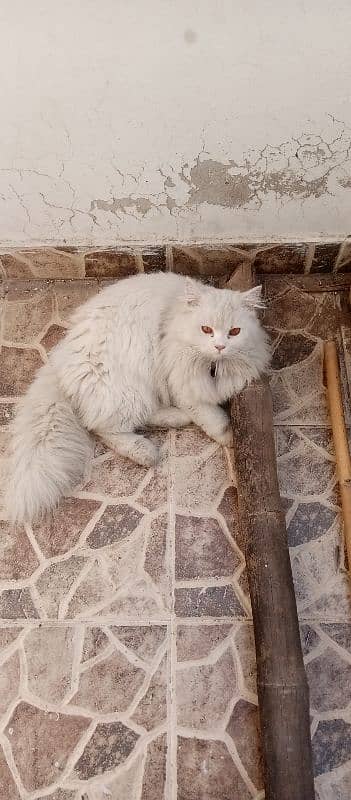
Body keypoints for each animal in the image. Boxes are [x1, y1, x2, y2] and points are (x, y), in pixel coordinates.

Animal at [4, 272, 270, 528]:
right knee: (104, 429)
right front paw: (232, 439)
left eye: (234, 332)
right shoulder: (181, 386)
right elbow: (214, 419)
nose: (220, 346)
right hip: (131, 389)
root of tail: (59, 361)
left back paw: (174, 420)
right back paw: (147, 452)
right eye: (206, 329)